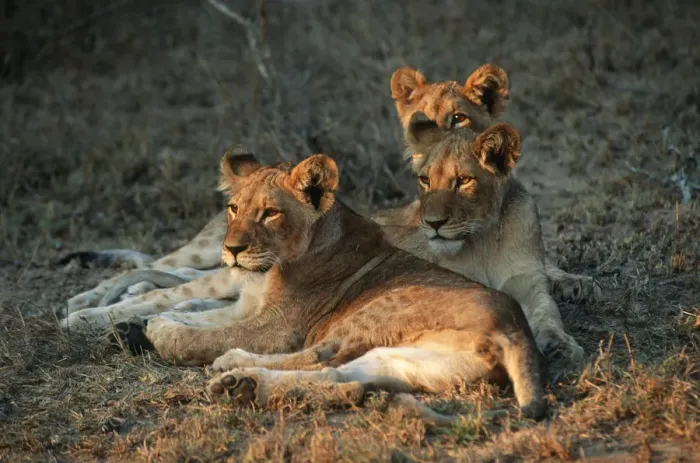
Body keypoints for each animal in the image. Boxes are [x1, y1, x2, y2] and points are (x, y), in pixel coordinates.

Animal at [82, 149, 547, 421]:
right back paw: (241, 386)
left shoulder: (279, 325)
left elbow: (206, 335)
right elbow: (198, 314)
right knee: (341, 375)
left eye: (270, 212)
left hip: (376, 313)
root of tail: (516, 326)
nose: (231, 250)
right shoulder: (246, 305)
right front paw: (147, 319)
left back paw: (232, 369)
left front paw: (159, 329)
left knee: (318, 357)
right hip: (415, 359)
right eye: (233, 208)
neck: (269, 269)